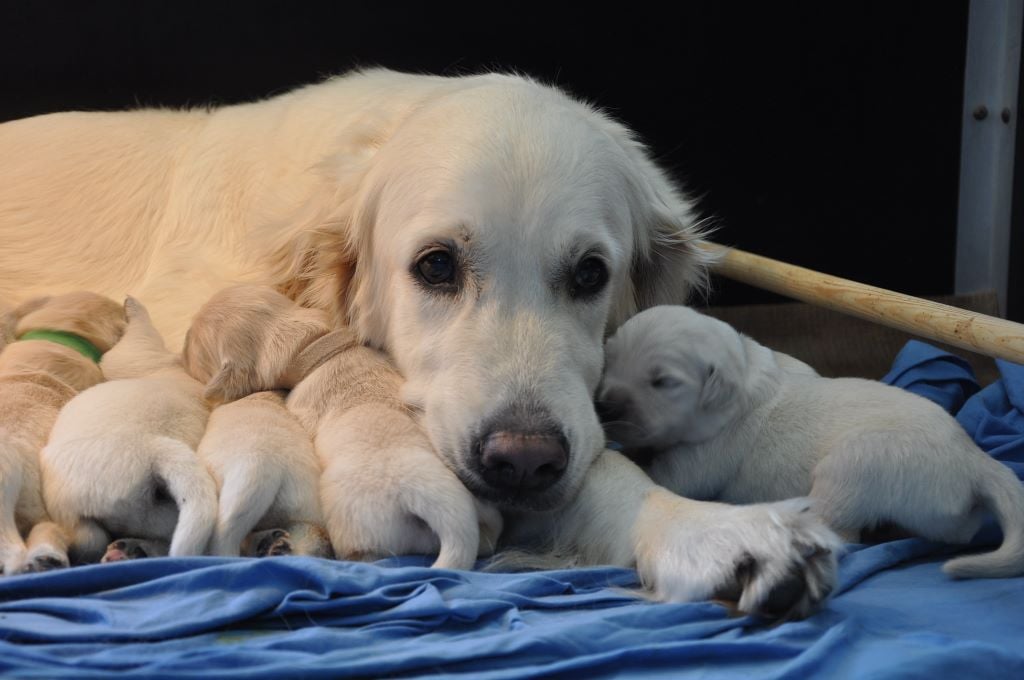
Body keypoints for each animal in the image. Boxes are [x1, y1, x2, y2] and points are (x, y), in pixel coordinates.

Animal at [40, 296, 217, 561]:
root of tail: (153, 452)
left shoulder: (133, 354)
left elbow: (137, 334)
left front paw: (132, 307)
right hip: (161, 518)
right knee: (162, 538)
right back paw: (131, 549)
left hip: (66, 500)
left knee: (89, 539)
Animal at [187, 284, 503, 569]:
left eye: (195, 345)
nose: (182, 349)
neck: (321, 344)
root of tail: (434, 499)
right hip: (478, 509)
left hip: (353, 519)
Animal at [598, 307, 1024, 577]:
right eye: (609, 357)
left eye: (663, 382)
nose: (604, 406)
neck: (743, 378)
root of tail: (973, 459)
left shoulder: (707, 454)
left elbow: (668, 476)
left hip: (856, 463)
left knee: (842, 530)